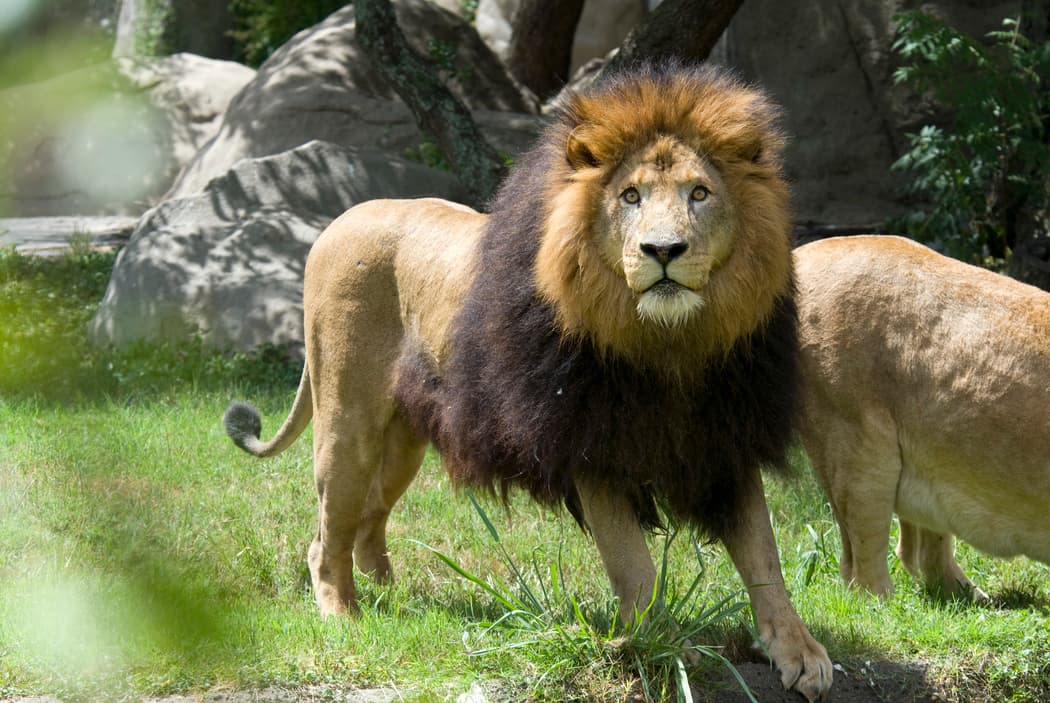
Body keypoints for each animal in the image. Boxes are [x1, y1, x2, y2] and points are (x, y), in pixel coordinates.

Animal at [224, 63, 832, 702]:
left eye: (700, 193)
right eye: (631, 196)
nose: (662, 250)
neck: (670, 347)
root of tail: (338, 220)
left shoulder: (725, 439)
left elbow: (764, 557)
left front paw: (800, 652)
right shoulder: (588, 444)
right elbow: (634, 567)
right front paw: (666, 650)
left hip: (401, 445)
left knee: (368, 520)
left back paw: (393, 599)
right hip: (348, 424)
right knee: (326, 536)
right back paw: (345, 616)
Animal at [795, 235, 1050, 601]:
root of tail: (804, 251)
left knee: (919, 552)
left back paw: (972, 597)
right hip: (856, 449)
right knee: (861, 561)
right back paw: (883, 601)